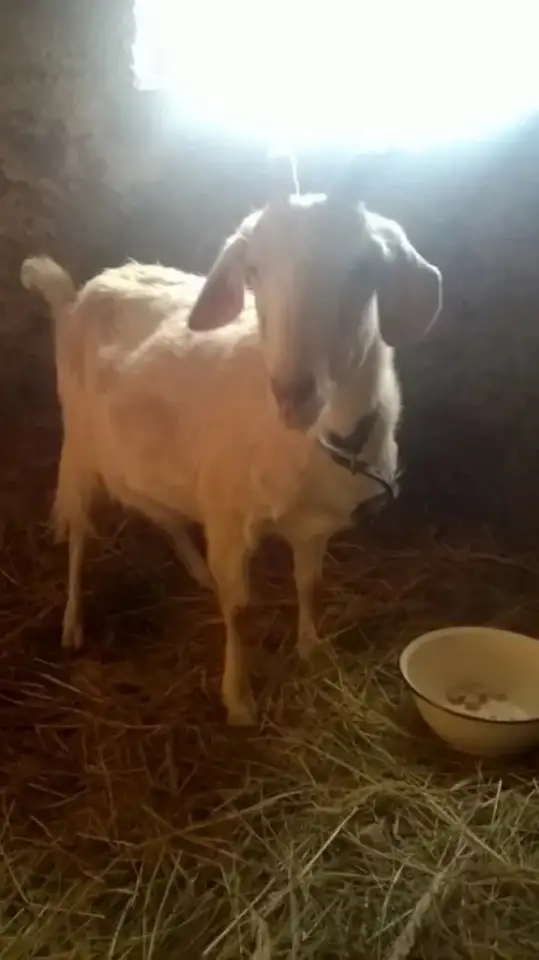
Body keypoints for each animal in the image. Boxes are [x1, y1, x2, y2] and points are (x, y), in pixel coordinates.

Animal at [21, 188, 442, 725]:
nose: (292, 392)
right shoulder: (228, 519)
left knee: (158, 510)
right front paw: (238, 701)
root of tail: (80, 293)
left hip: (146, 458)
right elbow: (239, 609)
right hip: (79, 443)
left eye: (365, 267)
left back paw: (197, 572)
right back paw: (73, 622)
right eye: (253, 270)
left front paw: (312, 648)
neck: (318, 438)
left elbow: (310, 584)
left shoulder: (312, 525)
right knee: (78, 532)